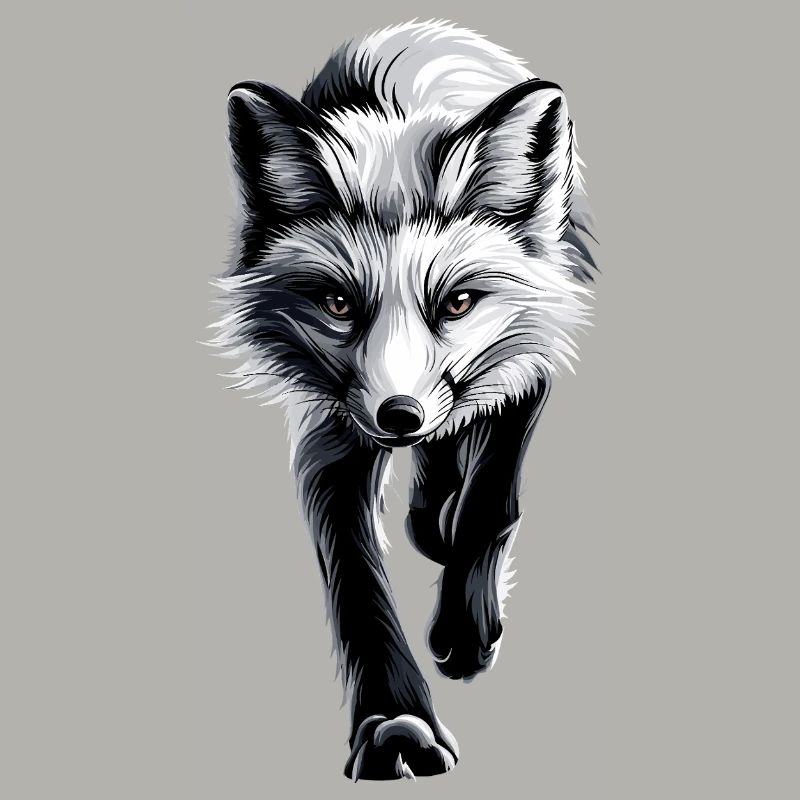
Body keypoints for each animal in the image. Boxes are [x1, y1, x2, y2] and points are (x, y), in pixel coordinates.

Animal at [210, 19, 596, 781]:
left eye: (458, 302)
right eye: (338, 304)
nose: (399, 416)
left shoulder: (529, 354)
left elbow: (489, 507)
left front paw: (466, 629)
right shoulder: (333, 429)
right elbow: (358, 582)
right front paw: (396, 724)